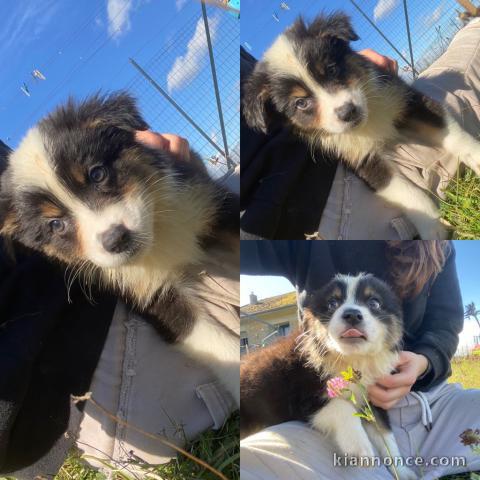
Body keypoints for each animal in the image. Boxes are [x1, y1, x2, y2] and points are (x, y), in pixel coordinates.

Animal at [0, 93, 240, 404]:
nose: (116, 240)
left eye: (97, 174)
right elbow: (208, 337)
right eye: (55, 224)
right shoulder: (149, 293)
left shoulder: (207, 202)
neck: (158, 237)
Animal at [240, 272, 416, 478]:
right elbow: (341, 405)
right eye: (332, 303)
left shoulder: (373, 399)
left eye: (374, 302)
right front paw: (359, 447)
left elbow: (386, 434)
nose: (352, 315)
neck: (350, 359)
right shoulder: (304, 399)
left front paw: (402, 471)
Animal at [242, 12, 480, 240]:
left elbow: (451, 133)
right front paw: (433, 229)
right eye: (301, 103)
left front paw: (476, 156)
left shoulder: (407, 100)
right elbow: (406, 192)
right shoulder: (361, 158)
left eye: (331, 69)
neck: (369, 121)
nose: (348, 112)